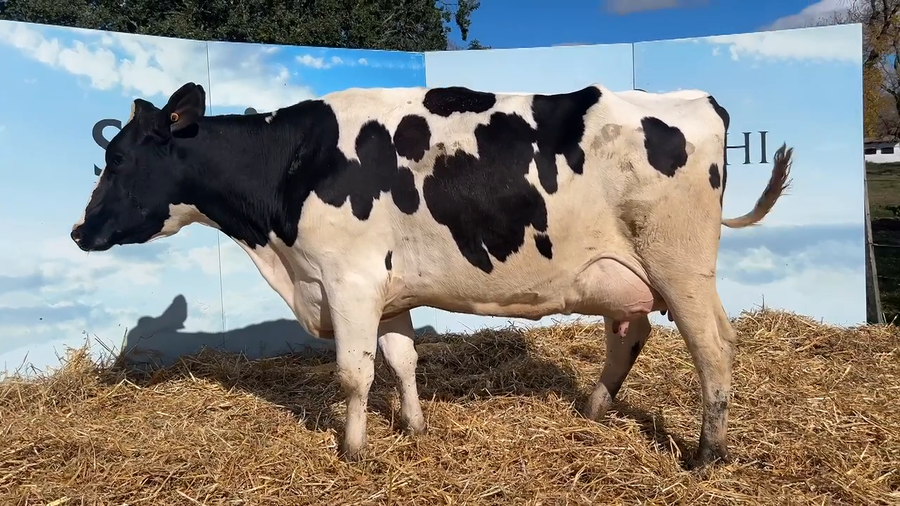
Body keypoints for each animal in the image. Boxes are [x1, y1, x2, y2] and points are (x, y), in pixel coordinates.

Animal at [70, 81, 793, 467]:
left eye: (119, 158)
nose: (79, 232)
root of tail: (694, 99)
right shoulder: (386, 288)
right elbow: (401, 358)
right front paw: (413, 427)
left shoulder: (349, 279)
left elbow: (354, 372)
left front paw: (352, 451)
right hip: (626, 272)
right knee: (628, 333)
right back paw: (593, 409)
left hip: (682, 265)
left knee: (713, 345)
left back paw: (707, 452)